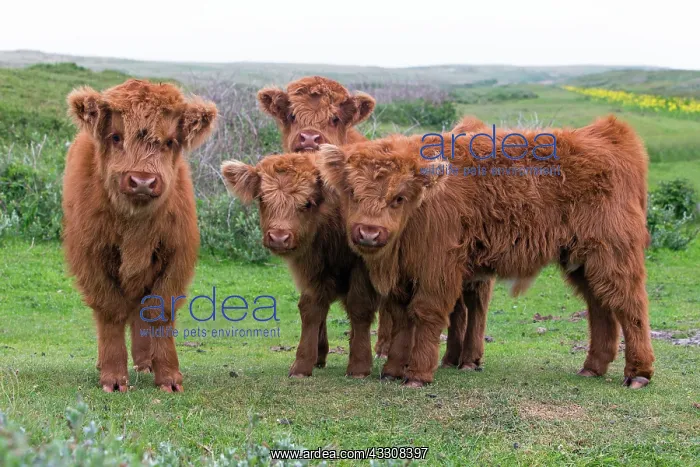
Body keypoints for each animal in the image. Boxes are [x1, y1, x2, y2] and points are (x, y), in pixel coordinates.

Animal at [62, 79, 217, 392]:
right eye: (116, 136)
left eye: (170, 142)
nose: (143, 181)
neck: (136, 226)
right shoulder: (91, 260)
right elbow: (110, 312)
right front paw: (113, 377)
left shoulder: (176, 260)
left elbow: (159, 311)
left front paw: (168, 376)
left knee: (140, 311)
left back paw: (146, 363)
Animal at [221, 153, 378, 378]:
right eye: (262, 199)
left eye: (307, 203)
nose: (279, 237)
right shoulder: (312, 268)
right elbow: (311, 309)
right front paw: (302, 364)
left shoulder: (362, 266)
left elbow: (359, 307)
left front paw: (359, 366)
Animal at [318, 116, 654, 389]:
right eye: (351, 192)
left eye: (399, 197)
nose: (369, 232)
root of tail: (608, 135)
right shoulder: (403, 275)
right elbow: (401, 318)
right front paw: (392, 370)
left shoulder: (438, 268)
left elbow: (425, 313)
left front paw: (417, 375)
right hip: (582, 260)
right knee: (600, 305)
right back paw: (593, 367)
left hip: (613, 253)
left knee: (629, 303)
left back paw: (638, 373)